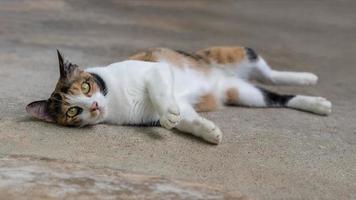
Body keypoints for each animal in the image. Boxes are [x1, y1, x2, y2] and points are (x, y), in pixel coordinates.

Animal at [26, 46, 332, 144]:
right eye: (72, 111)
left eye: (87, 87)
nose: (93, 107)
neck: (113, 98)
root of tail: (224, 77)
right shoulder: (179, 106)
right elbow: (188, 119)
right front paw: (208, 131)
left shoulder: (156, 69)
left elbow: (159, 91)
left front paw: (168, 115)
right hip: (242, 93)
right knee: (277, 97)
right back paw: (317, 104)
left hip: (237, 54)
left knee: (269, 73)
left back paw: (309, 79)